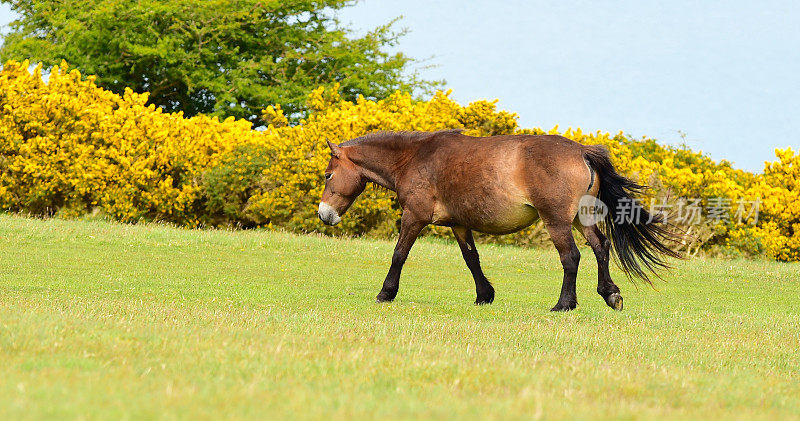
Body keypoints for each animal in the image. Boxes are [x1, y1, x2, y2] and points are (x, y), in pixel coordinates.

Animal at [316, 130, 680, 310]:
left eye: (328, 175)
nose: (324, 214)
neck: (416, 157)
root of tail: (581, 151)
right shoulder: (460, 224)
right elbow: (472, 260)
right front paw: (484, 295)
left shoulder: (415, 216)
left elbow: (399, 254)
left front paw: (385, 294)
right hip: (582, 218)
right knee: (601, 248)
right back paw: (610, 294)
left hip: (557, 221)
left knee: (571, 257)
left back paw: (564, 304)